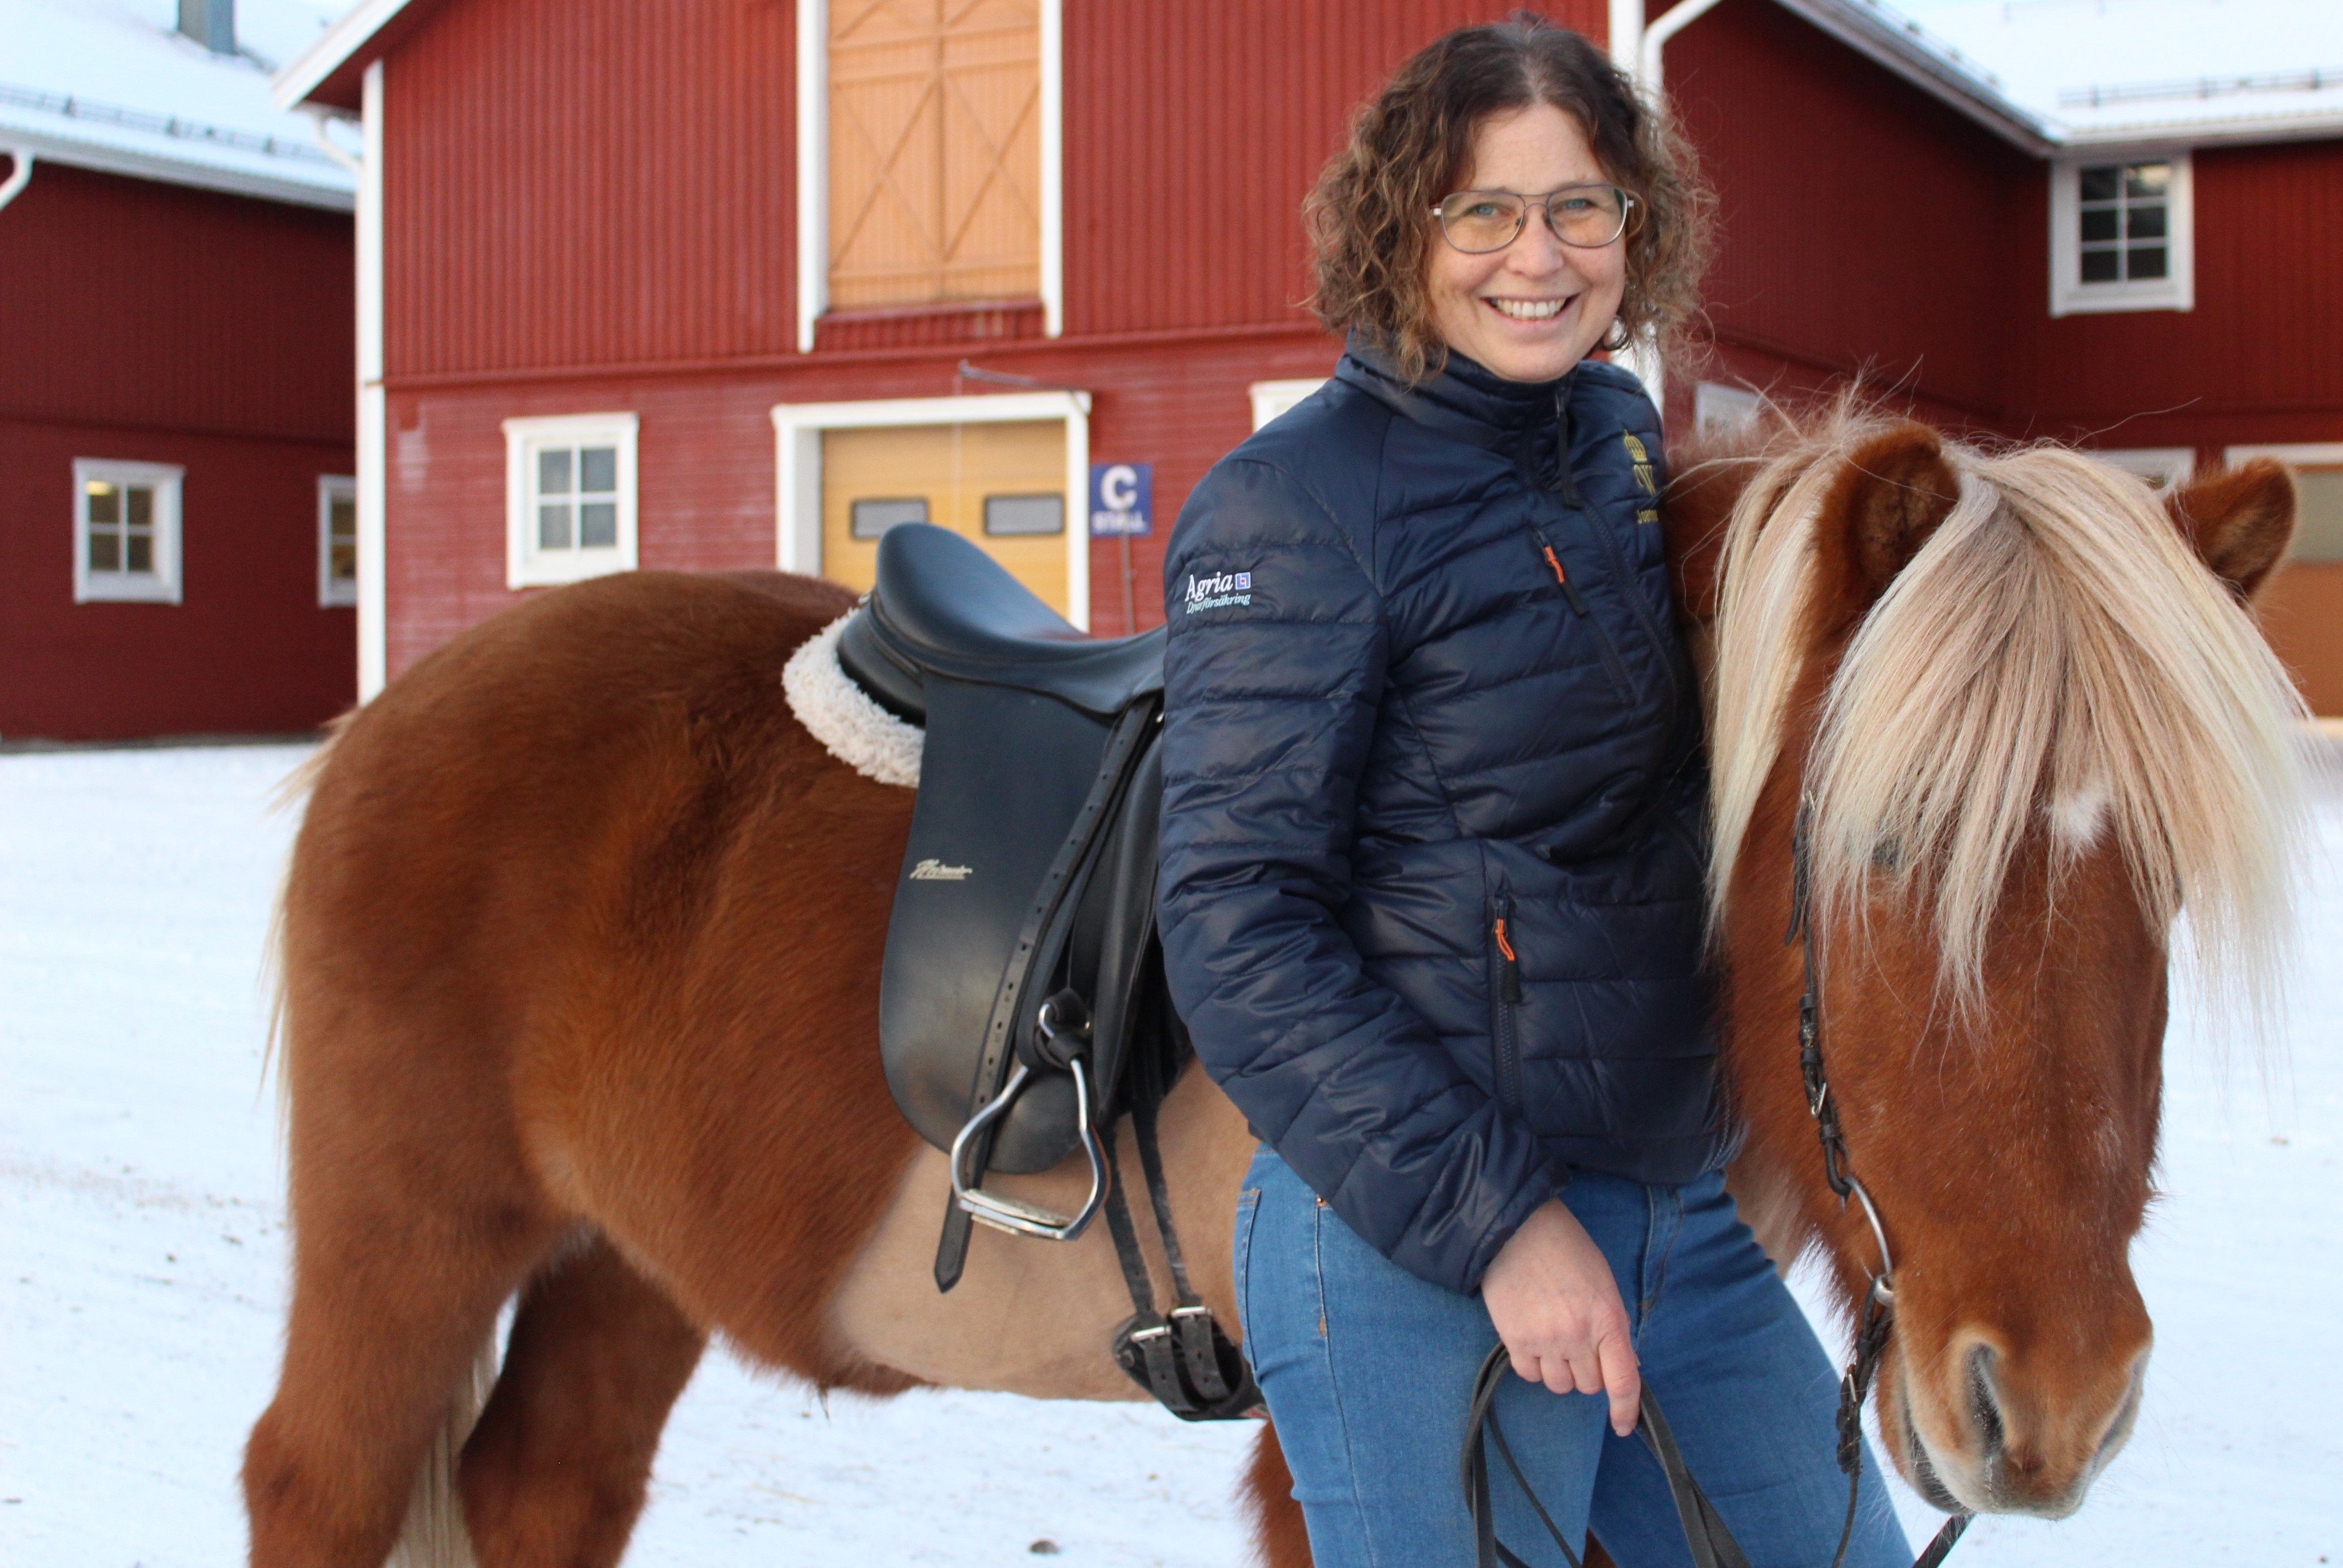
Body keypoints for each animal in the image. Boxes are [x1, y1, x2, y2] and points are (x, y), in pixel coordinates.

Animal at [242, 415, 2305, 1566]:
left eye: (2162, 878)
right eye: (1879, 848)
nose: (2050, 1399)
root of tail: (404, 706)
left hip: (621, 1265)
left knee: (543, 1492)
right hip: (416, 1232)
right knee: (319, 1485)